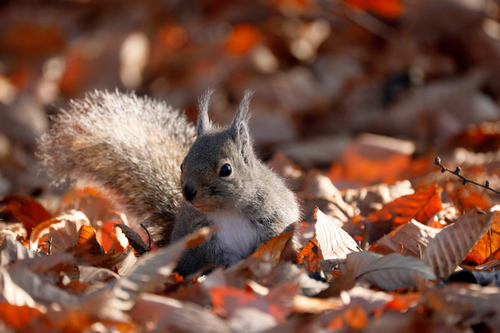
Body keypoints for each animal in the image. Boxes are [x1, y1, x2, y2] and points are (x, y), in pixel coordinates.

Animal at [38, 89, 300, 274]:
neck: (228, 211)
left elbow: (274, 240)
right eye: (182, 165)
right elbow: (214, 258)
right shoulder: (202, 236)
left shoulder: (273, 218)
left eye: (226, 170)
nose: (189, 192)